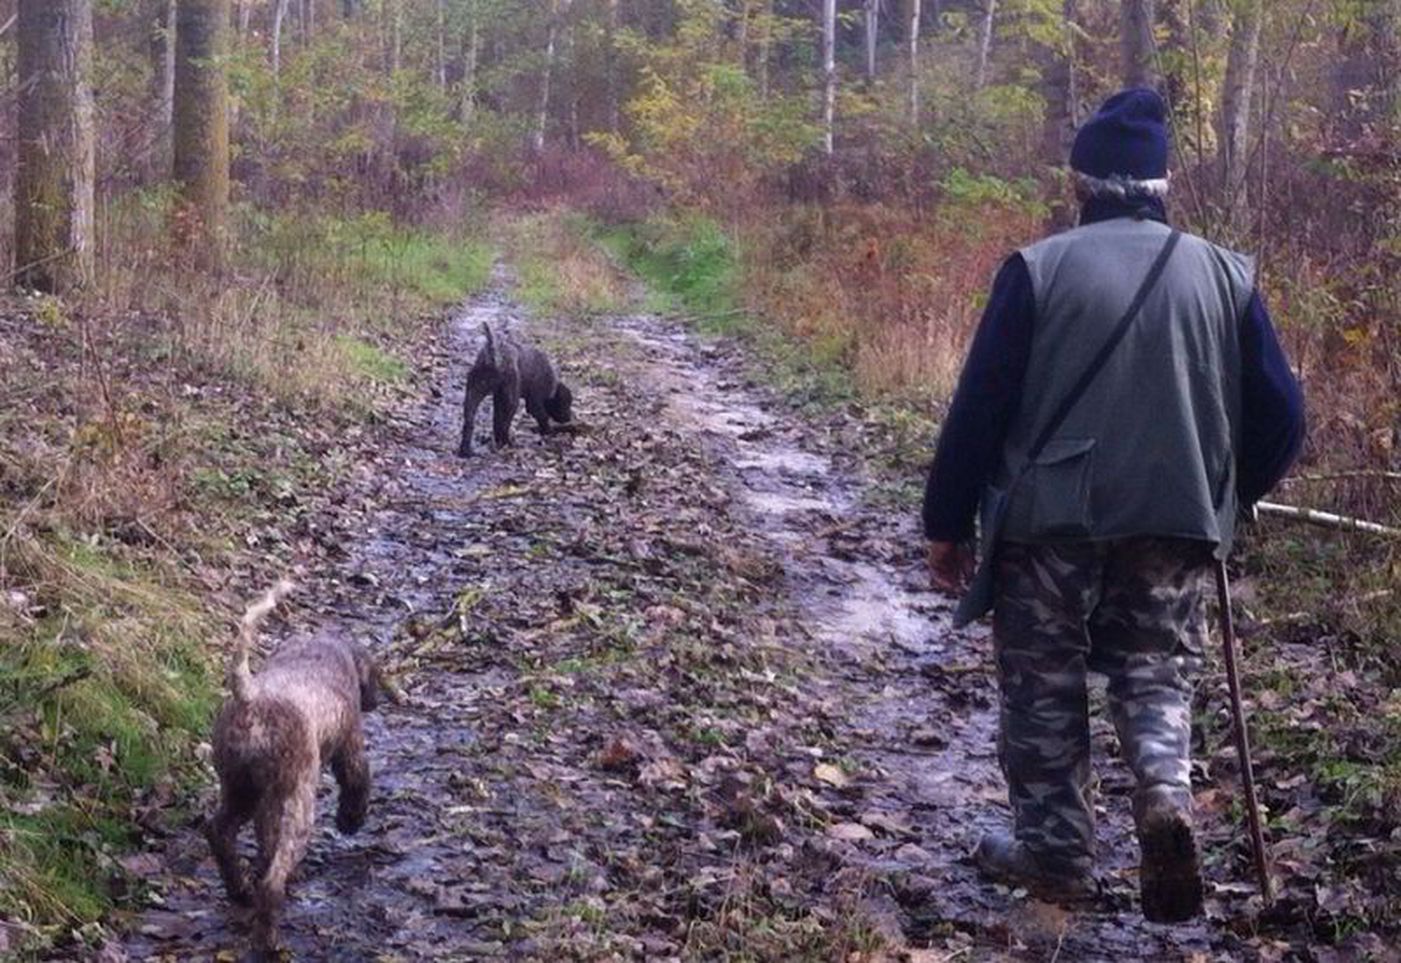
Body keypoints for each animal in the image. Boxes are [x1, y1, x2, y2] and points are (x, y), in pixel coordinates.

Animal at [204, 583, 381, 958]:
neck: (319, 651)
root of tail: (250, 700)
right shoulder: (349, 744)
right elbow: (358, 780)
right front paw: (351, 820)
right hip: (295, 801)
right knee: (272, 878)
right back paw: (268, 940)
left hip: (241, 790)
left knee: (219, 832)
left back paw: (239, 889)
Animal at [456, 322, 571, 456]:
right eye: (566, 403)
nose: (569, 418)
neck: (553, 383)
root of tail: (493, 351)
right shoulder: (534, 402)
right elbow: (542, 416)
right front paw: (548, 431)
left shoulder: (498, 397)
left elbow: (496, 419)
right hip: (511, 400)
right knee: (506, 423)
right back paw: (507, 442)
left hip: (473, 393)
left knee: (469, 422)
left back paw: (466, 450)